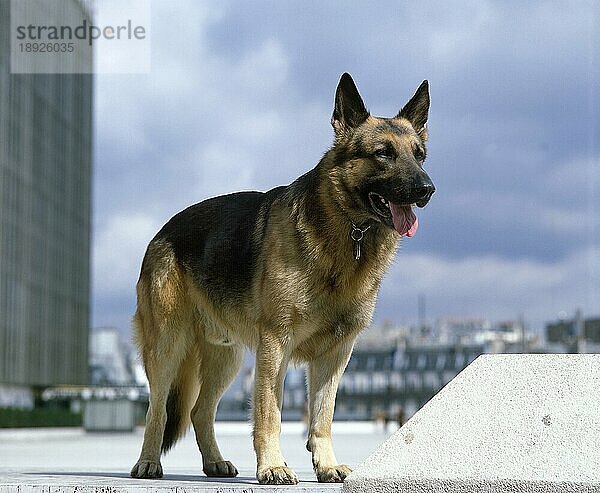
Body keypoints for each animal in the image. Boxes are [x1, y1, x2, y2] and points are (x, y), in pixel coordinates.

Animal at [131, 73, 434, 484]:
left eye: (419, 155)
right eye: (383, 153)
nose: (427, 189)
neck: (350, 232)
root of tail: (162, 232)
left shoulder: (335, 355)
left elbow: (322, 417)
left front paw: (326, 465)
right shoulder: (275, 346)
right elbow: (268, 413)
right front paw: (273, 466)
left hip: (226, 359)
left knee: (199, 411)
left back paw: (215, 462)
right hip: (168, 348)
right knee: (157, 409)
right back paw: (148, 463)